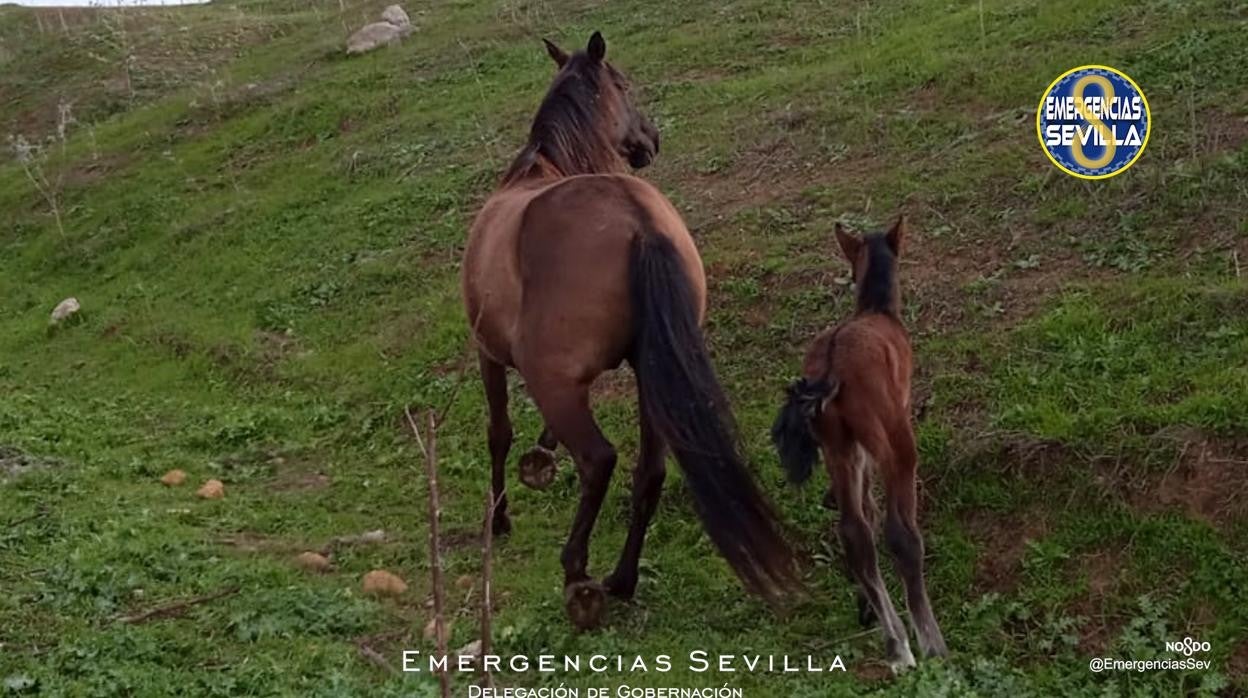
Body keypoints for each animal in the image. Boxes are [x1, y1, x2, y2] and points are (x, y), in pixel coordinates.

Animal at [461, 32, 798, 631]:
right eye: (627, 86)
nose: (652, 140)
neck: (536, 171)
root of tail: (637, 222)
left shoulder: (489, 354)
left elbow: (497, 433)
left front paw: (499, 517)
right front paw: (540, 458)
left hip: (557, 382)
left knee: (599, 461)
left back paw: (577, 574)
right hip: (651, 378)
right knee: (650, 472)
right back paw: (621, 579)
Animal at [768, 217, 943, 674]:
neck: (876, 311)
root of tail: (830, 370)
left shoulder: (853, 452)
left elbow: (863, 512)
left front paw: (865, 603)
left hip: (837, 446)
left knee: (854, 532)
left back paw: (895, 644)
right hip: (894, 441)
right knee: (900, 534)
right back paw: (928, 644)